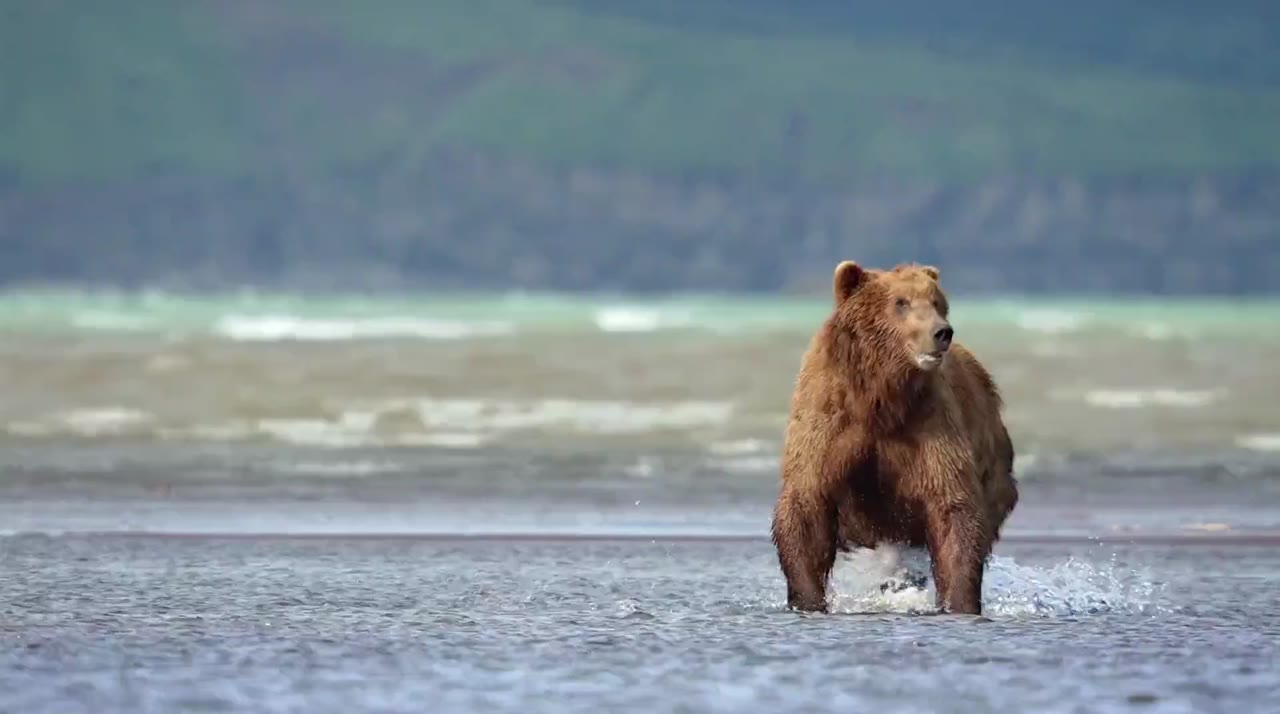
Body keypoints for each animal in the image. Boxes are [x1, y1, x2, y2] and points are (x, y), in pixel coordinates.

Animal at [770, 260, 1018, 615]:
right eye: (901, 302)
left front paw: (958, 602)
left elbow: (953, 507)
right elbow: (806, 504)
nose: (942, 332)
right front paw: (808, 600)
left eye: (937, 302)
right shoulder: (827, 418)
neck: (880, 395)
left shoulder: (929, 425)